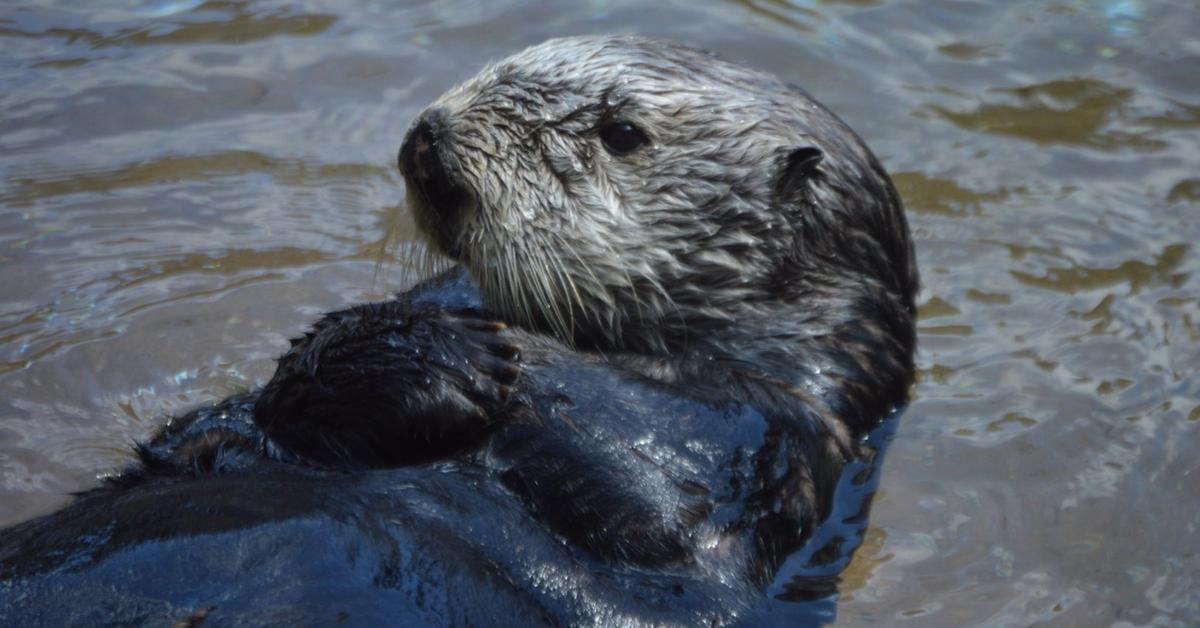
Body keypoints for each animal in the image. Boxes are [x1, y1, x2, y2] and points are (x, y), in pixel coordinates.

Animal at [2, 36, 916, 624]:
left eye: (621, 132)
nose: (429, 138)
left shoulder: (770, 445)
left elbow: (650, 500)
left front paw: (483, 358)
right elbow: (222, 421)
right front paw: (425, 344)